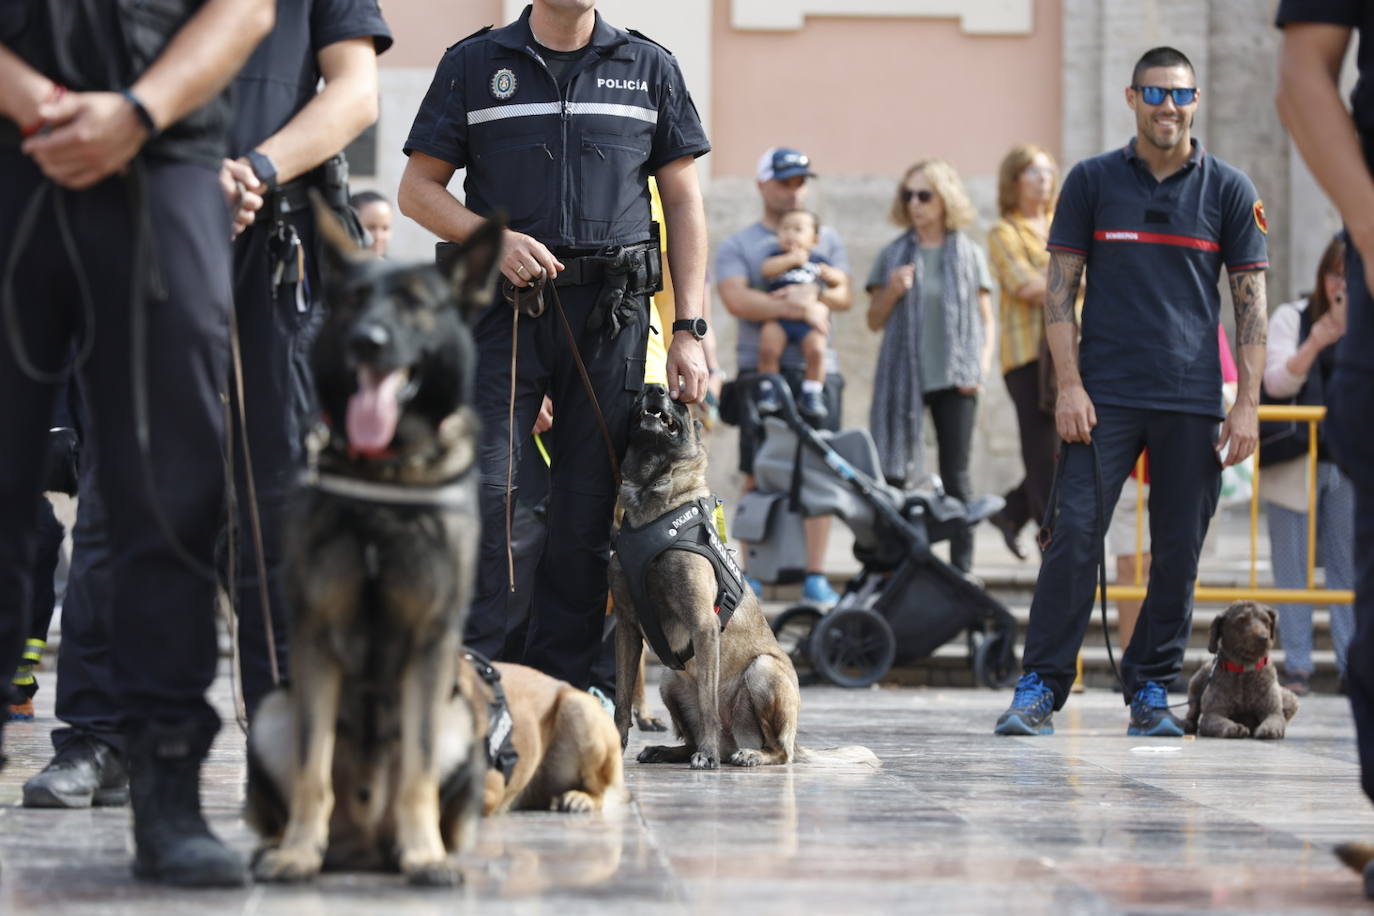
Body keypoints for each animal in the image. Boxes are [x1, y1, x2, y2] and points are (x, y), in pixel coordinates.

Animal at [244, 205, 502, 878]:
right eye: (355, 302)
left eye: (415, 305)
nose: (369, 341)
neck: (384, 473)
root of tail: (360, 846)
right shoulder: (312, 637)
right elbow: (312, 767)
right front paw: (297, 853)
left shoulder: (431, 642)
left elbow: (416, 767)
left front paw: (424, 856)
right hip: (271, 711)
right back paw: (287, 848)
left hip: (460, 715)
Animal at [615, 384, 873, 769]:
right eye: (648, 393)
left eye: (680, 399)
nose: (655, 388)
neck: (654, 501)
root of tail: (733, 740)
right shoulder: (628, 628)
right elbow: (621, 701)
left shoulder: (703, 624)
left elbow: (707, 703)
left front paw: (706, 757)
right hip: (668, 679)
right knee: (689, 739)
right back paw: (671, 751)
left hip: (762, 671)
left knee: (780, 751)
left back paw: (744, 754)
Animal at [1181, 601, 1297, 736]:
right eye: (1241, 620)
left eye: (1266, 620)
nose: (1263, 638)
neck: (1244, 669)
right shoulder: (1212, 714)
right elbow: (1221, 721)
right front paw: (1235, 728)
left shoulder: (1273, 711)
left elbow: (1274, 720)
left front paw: (1268, 729)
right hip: (1195, 684)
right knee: (1192, 713)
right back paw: (1187, 724)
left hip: (1290, 698)